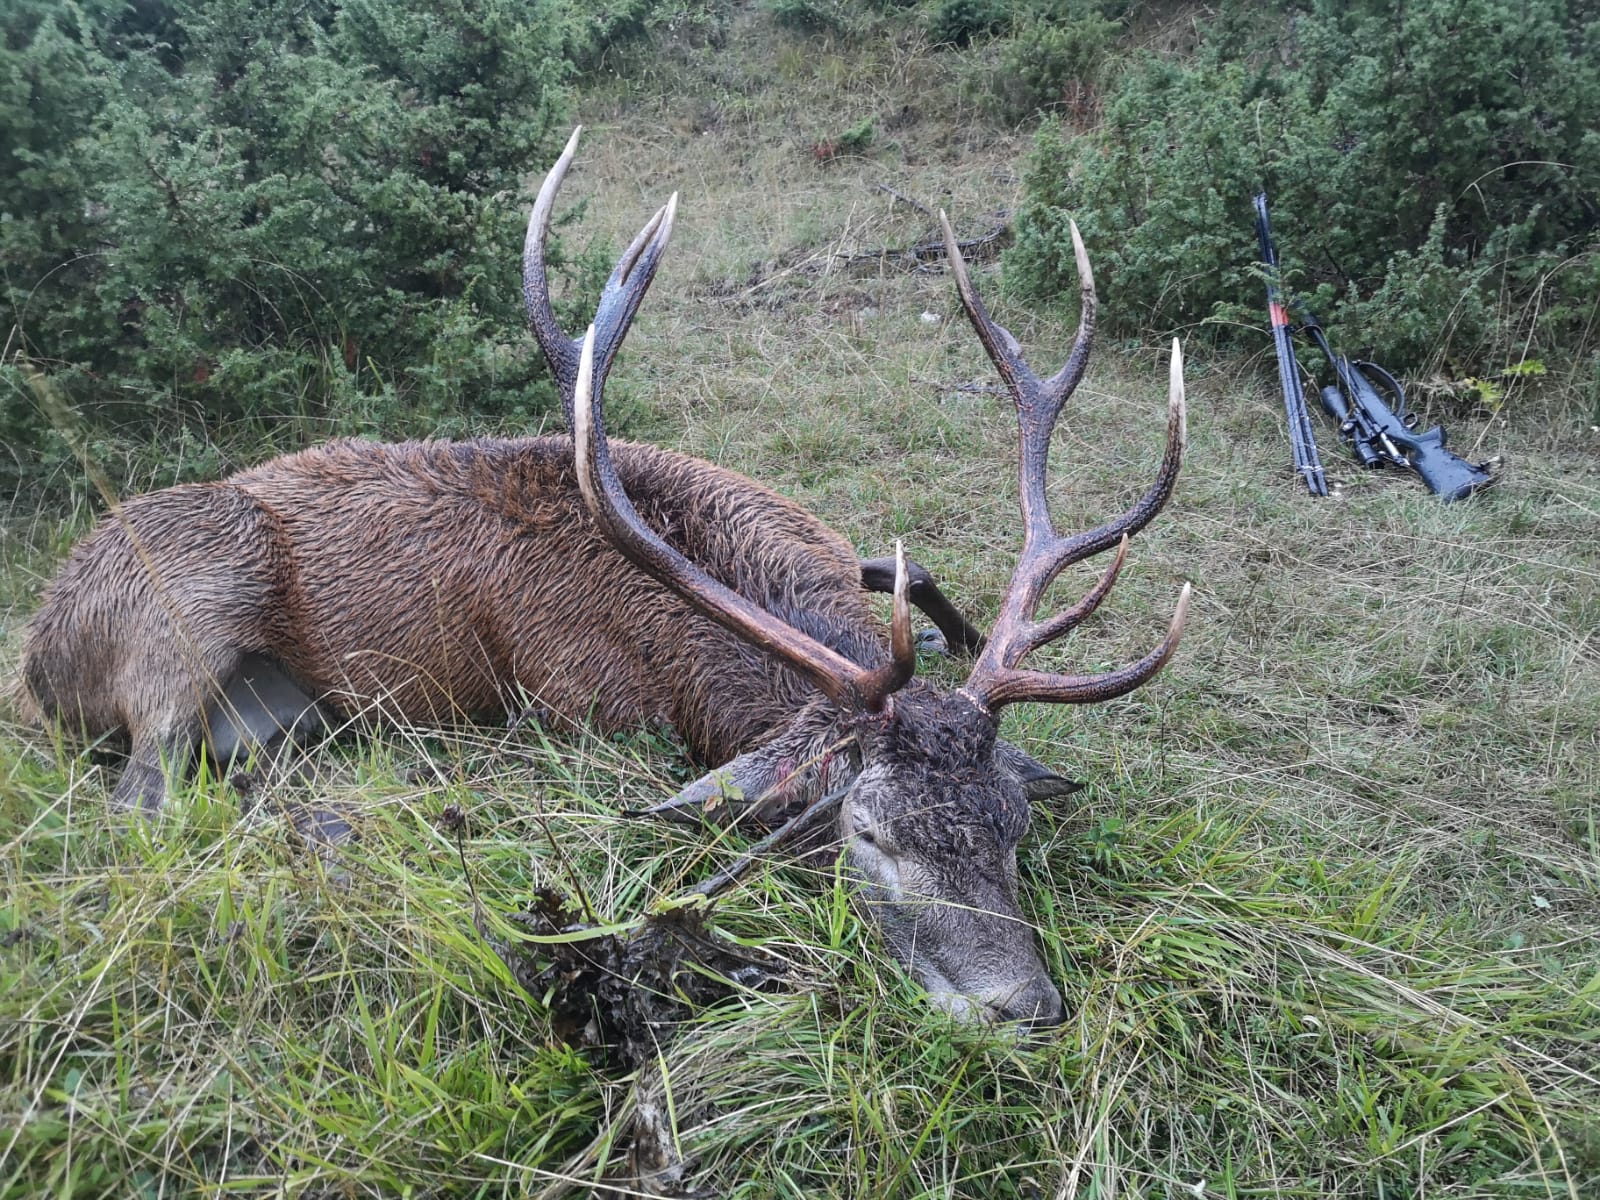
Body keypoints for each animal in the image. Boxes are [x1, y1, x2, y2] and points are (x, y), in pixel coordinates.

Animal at [19, 128, 1189, 1028]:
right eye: (866, 832)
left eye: (1014, 825)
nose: (1029, 1008)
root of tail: (35, 661)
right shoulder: (583, 711)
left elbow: (919, 572)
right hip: (190, 590)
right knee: (140, 804)